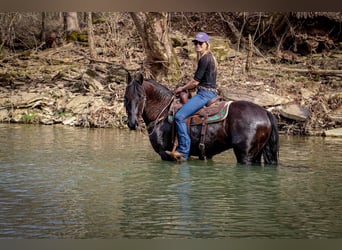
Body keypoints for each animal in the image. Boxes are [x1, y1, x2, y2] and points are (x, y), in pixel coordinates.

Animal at [123, 72, 278, 165]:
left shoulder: (164, 154)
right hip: (256, 154)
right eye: (125, 97)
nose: (132, 123)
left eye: (141, 97)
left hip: (245, 155)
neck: (163, 112)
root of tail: (265, 112)